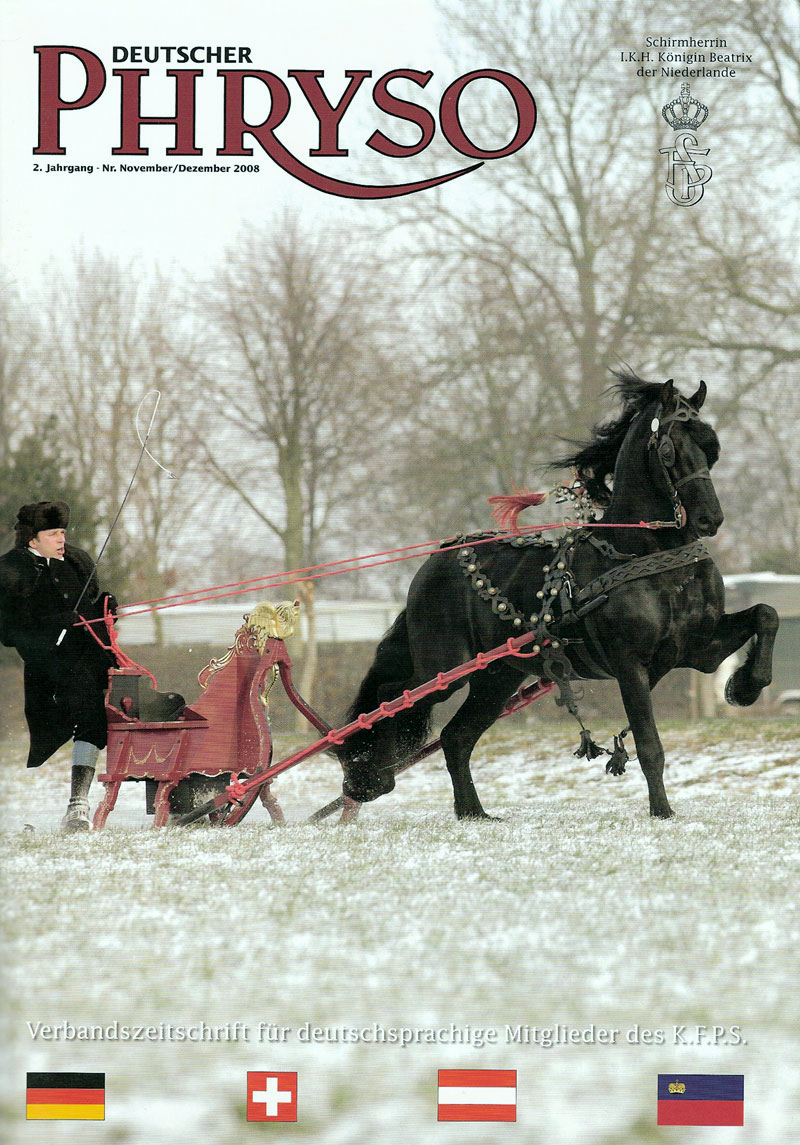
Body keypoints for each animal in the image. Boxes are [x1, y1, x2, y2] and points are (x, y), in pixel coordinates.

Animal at [341, 373, 778, 815]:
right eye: (670, 450)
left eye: (712, 448)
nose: (710, 519)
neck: (650, 555)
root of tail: (435, 560)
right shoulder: (630, 665)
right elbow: (649, 745)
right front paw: (662, 812)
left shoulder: (699, 649)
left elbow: (766, 613)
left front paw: (744, 686)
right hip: (445, 668)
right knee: (393, 697)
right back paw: (371, 775)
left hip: (497, 677)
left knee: (455, 737)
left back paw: (473, 814)